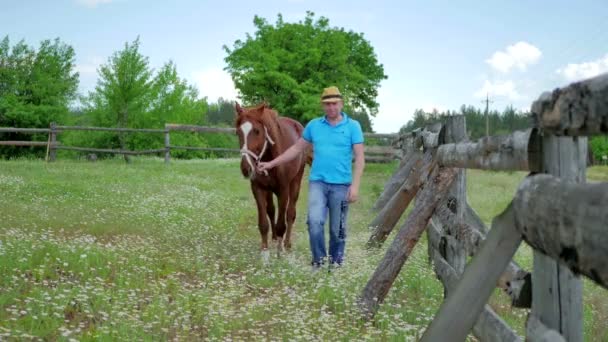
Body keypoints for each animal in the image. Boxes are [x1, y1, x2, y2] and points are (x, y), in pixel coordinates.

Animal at [234, 103, 308, 258]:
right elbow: (263, 223)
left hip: (295, 182)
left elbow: (281, 224)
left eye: (256, 131)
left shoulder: (283, 190)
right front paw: (264, 251)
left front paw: (279, 253)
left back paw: (287, 243)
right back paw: (274, 238)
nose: (246, 168)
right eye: (238, 132)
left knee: (290, 214)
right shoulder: (258, 188)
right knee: (271, 210)